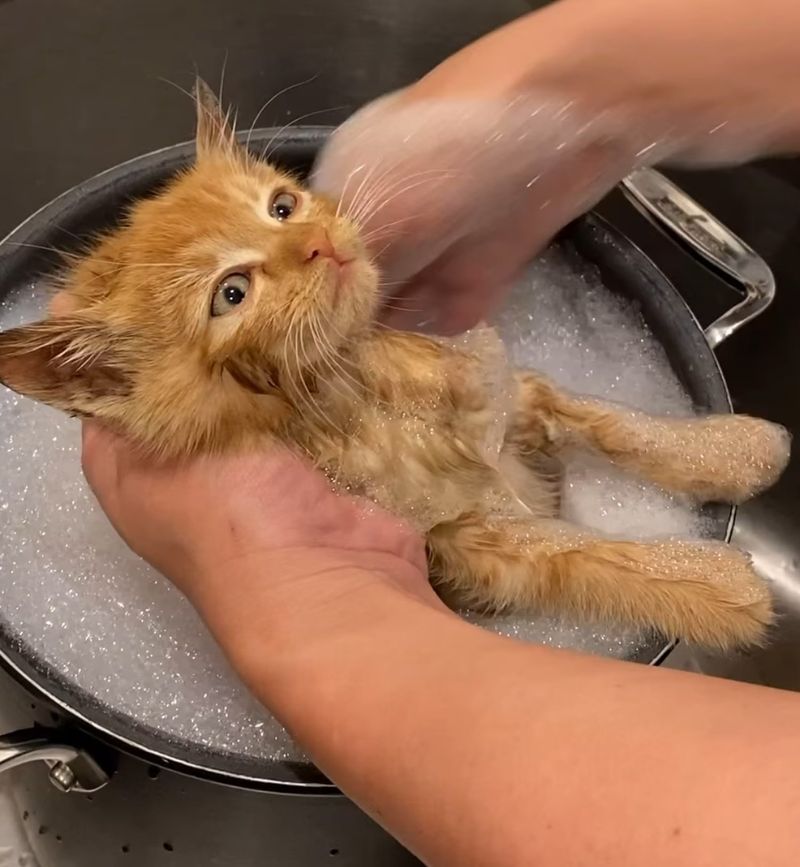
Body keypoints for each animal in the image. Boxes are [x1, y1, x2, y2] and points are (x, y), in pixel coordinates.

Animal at [0, 83, 792, 652]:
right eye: (232, 293)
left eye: (280, 206)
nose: (317, 243)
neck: (370, 379)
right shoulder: (470, 544)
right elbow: (584, 552)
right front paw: (713, 581)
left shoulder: (515, 391)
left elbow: (617, 424)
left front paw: (732, 448)